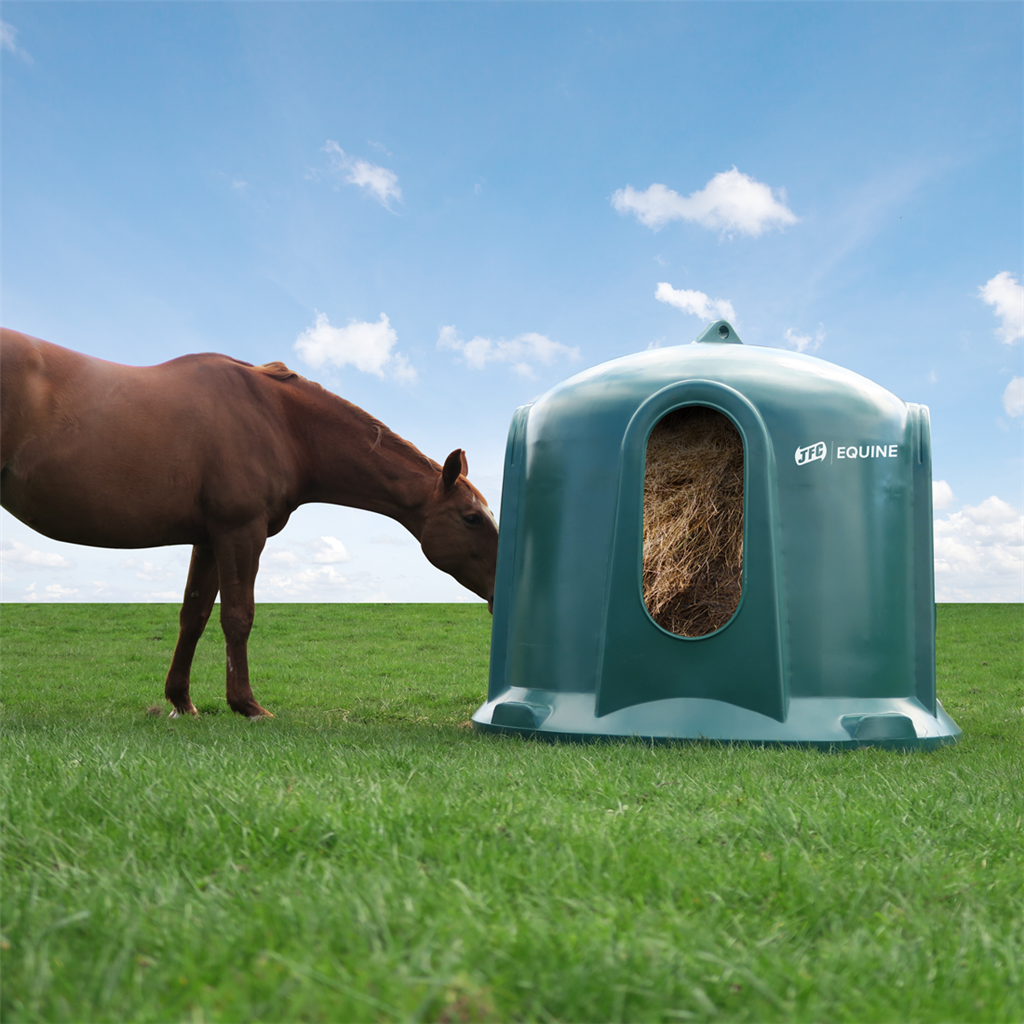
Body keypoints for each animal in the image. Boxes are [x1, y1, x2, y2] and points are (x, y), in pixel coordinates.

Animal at [0, 328, 498, 718]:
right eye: (472, 517)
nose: (501, 592)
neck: (282, 422)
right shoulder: (241, 532)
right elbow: (238, 616)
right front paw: (247, 705)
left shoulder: (208, 539)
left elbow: (194, 615)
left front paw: (181, 701)